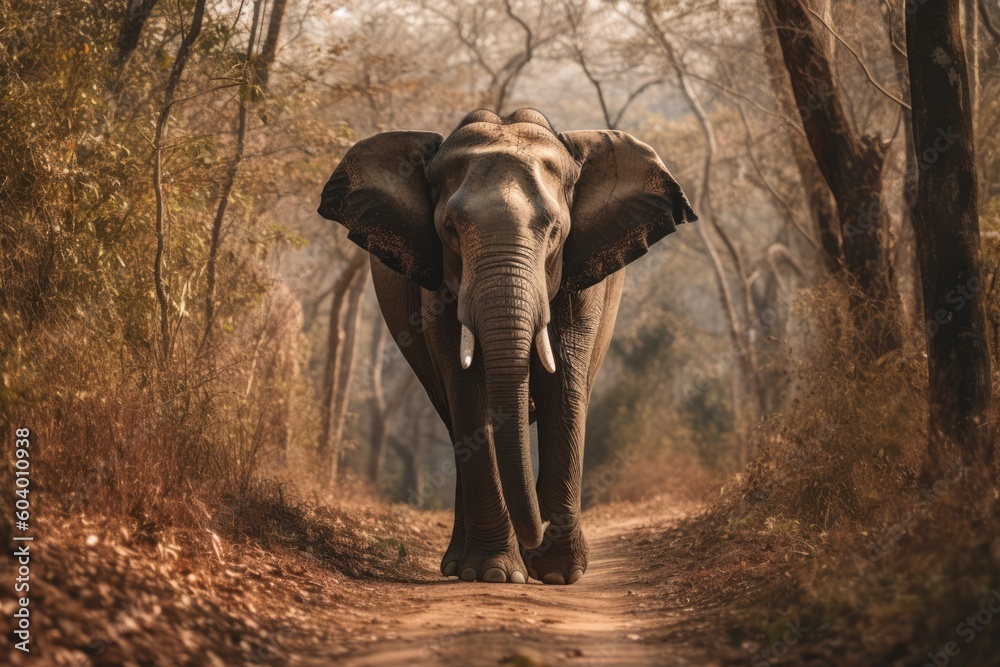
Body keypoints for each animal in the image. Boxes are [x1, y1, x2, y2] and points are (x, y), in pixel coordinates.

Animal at [318, 109, 695, 585]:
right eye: (449, 230)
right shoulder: (436, 286)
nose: (540, 532)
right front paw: (494, 573)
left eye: (555, 231)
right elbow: (465, 385)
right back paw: (460, 565)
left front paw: (557, 574)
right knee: (451, 416)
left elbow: (565, 381)